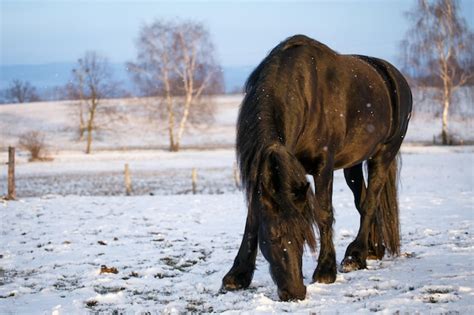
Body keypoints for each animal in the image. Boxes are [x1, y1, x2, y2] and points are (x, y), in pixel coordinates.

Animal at [222, 34, 412, 302]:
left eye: (304, 236)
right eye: (272, 236)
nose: (295, 292)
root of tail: (393, 74)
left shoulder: (324, 166)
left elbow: (324, 213)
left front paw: (325, 270)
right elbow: (252, 218)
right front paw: (237, 275)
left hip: (384, 154)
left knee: (371, 200)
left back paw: (356, 256)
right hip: (353, 164)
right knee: (363, 200)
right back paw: (373, 249)